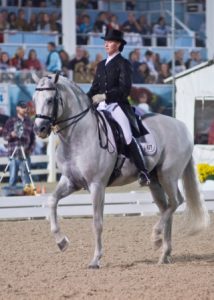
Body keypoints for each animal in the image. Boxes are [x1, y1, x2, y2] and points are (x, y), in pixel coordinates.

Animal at [33, 74, 209, 268]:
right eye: (34, 99)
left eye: (50, 100)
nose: (39, 129)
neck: (77, 136)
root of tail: (182, 127)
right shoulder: (70, 181)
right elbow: (51, 201)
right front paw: (61, 242)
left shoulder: (97, 185)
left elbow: (97, 222)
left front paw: (95, 259)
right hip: (155, 181)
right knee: (166, 207)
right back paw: (164, 254)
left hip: (168, 176)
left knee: (176, 202)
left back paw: (156, 237)